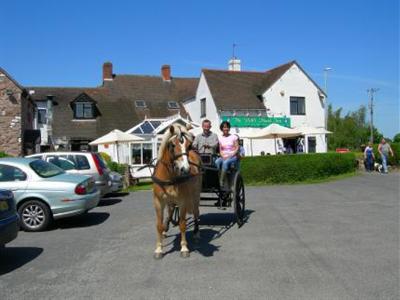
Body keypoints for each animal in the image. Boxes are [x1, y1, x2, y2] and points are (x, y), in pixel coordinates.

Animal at [153, 123, 203, 258]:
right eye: (172, 145)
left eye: (188, 145)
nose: (185, 169)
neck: (169, 177)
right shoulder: (158, 202)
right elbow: (158, 225)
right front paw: (159, 249)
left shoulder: (183, 202)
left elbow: (182, 224)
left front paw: (184, 248)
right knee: (170, 211)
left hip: (195, 195)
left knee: (196, 212)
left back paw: (196, 232)